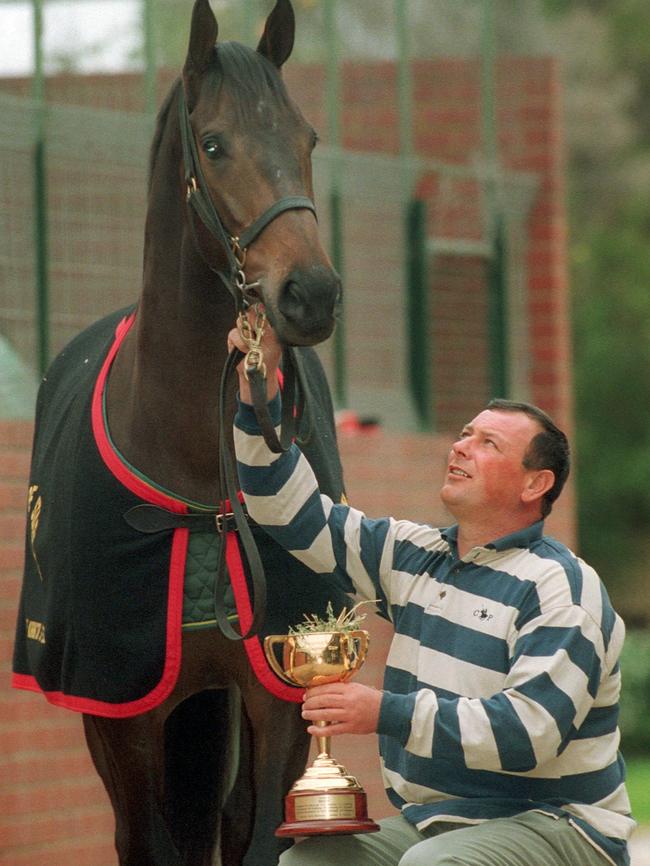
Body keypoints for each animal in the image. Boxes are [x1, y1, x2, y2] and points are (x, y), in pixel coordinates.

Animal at [11, 1, 350, 864]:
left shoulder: (278, 697)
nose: (312, 294)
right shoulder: (122, 713)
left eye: (307, 138)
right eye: (216, 144)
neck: (201, 477)